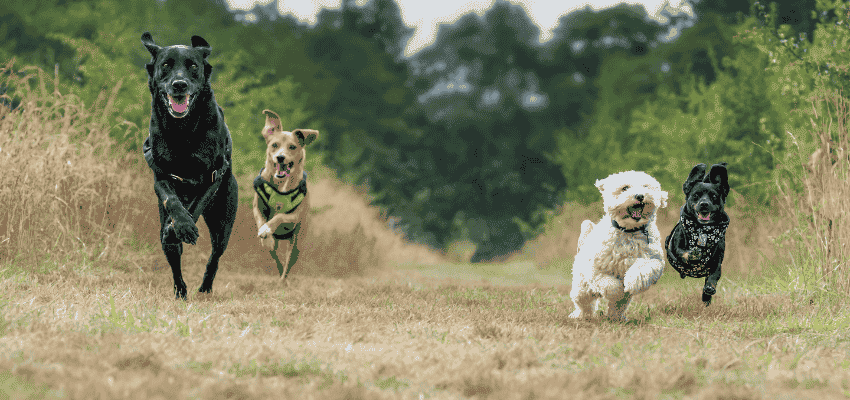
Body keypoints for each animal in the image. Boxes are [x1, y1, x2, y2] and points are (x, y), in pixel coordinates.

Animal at [139, 32, 237, 298]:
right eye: (165, 65)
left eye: (193, 66)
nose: (179, 84)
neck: (182, 132)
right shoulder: (161, 175)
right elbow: (172, 200)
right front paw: (179, 226)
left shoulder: (212, 176)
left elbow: (195, 206)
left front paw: (183, 227)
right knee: (173, 254)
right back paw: (180, 290)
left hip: (223, 222)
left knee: (215, 256)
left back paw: (204, 288)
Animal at [253, 108, 320, 280]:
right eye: (274, 145)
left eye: (292, 147)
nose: (280, 157)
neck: (281, 185)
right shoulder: (257, 205)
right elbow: (260, 218)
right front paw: (265, 234)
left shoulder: (294, 216)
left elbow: (280, 216)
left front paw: (267, 229)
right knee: (277, 259)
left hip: (297, 241)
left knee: (288, 264)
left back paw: (283, 281)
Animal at [568, 170, 664, 320]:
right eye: (625, 188)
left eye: (645, 186)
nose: (640, 196)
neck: (629, 231)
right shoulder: (595, 268)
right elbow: (609, 284)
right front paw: (618, 290)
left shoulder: (654, 259)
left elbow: (643, 268)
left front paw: (632, 281)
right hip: (582, 286)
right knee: (583, 303)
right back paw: (580, 315)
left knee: (618, 306)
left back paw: (617, 318)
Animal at [664, 162, 728, 306]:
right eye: (696, 195)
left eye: (714, 197)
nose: (704, 204)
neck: (702, 231)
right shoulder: (676, 247)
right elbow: (682, 252)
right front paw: (693, 254)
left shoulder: (718, 261)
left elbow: (714, 275)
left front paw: (709, 289)